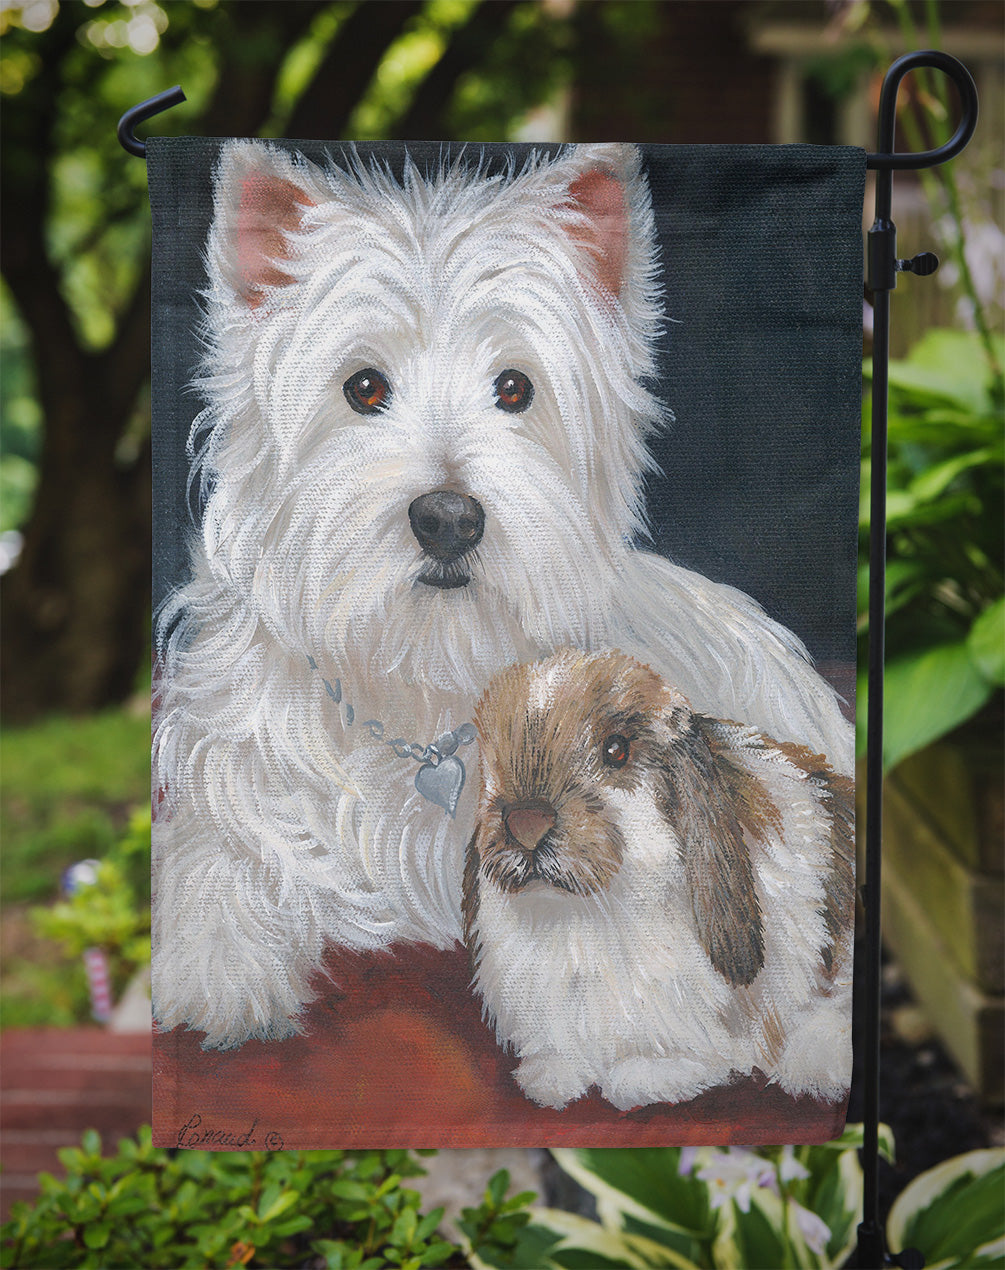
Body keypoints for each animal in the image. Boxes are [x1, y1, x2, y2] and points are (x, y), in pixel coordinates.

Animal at [463, 648, 855, 1112]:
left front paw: (639, 1078)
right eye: (490, 758)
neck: (584, 915)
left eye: (616, 750)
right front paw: (551, 1080)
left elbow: (672, 1065)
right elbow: (558, 1059)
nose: (525, 824)